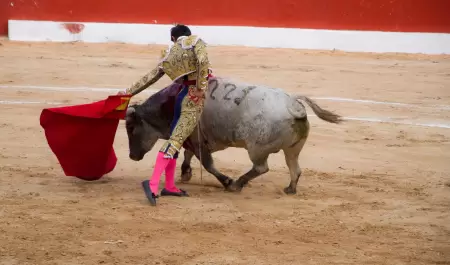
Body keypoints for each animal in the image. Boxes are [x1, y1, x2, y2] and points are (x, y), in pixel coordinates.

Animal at [123, 76, 342, 194]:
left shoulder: (198, 141)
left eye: (131, 128)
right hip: (293, 149)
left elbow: (208, 164)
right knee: (294, 168)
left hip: (256, 149)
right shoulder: (194, 139)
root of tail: (292, 103)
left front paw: (226, 181)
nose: (132, 156)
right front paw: (185, 173)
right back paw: (290, 189)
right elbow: (188, 154)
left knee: (261, 167)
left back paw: (237, 184)